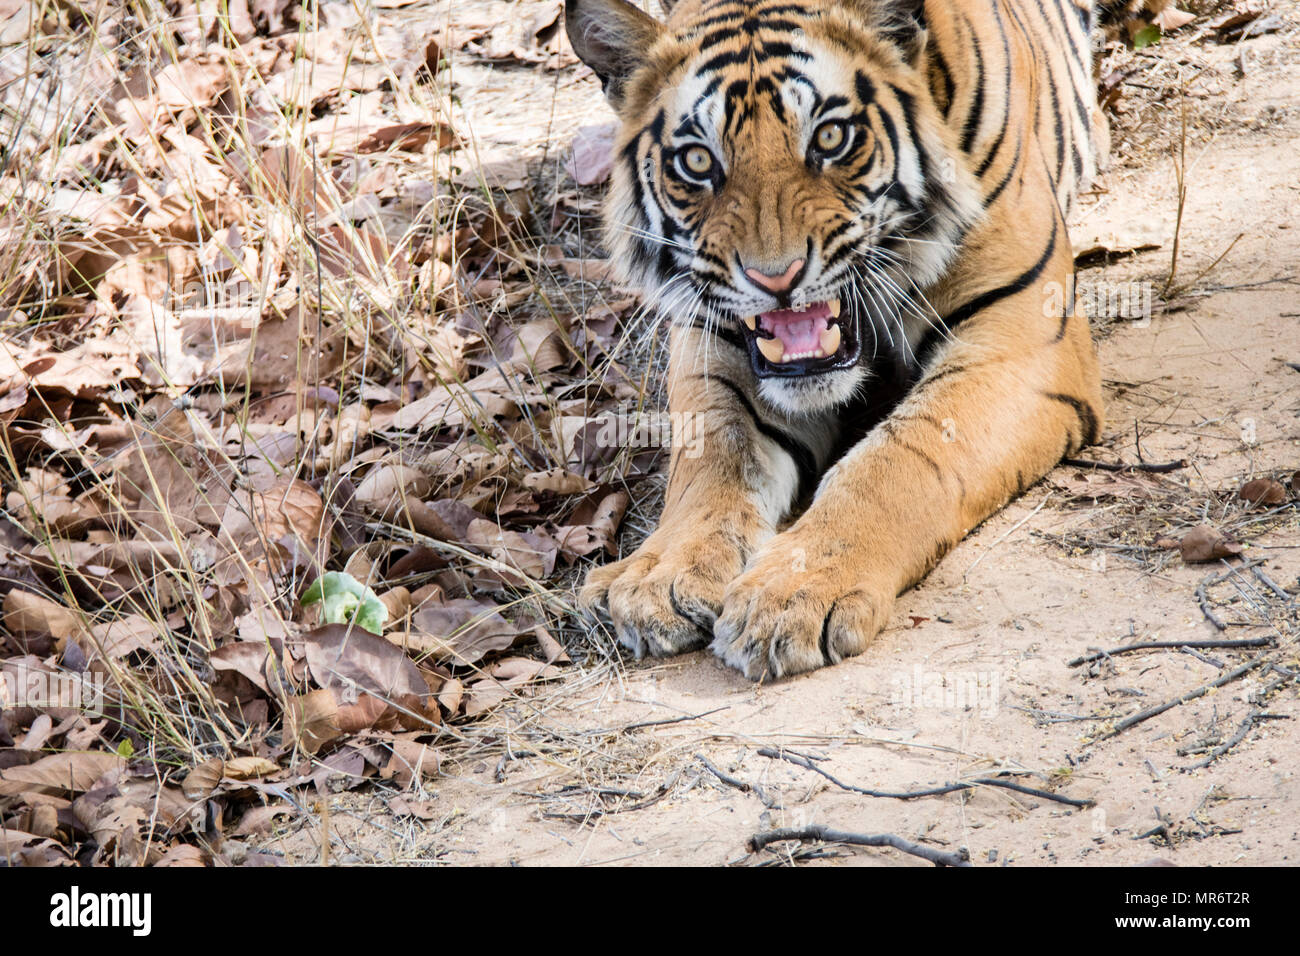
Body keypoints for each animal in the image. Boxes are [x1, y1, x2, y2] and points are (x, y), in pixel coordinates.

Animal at [564, 0, 1102, 681]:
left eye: (829, 138)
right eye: (697, 161)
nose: (776, 278)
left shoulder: (1021, 335)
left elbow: (898, 457)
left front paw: (792, 592)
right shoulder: (712, 338)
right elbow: (711, 455)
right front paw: (656, 576)